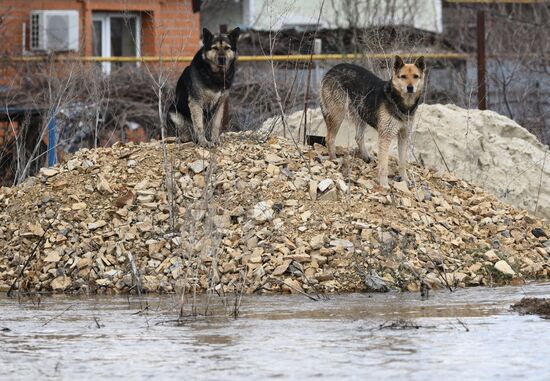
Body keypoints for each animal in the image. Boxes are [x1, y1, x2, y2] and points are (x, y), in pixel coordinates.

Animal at [322, 55, 430, 187]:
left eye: (415, 76)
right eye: (403, 76)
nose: (410, 88)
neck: (401, 104)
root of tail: (331, 69)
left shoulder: (403, 136)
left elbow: (402, 163)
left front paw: (405, 179)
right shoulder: (385, 137)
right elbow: (383, 165)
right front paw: (384, 184)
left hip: (361, 114)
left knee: (358, 137)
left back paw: (366, 157)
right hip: (338, 114)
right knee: (330, 138)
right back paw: (334, 159)